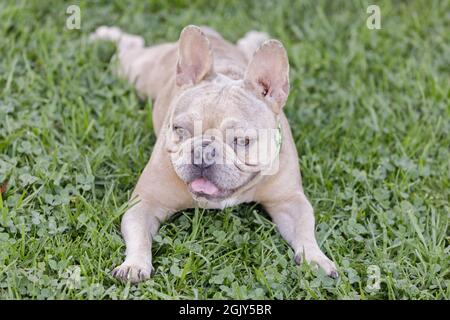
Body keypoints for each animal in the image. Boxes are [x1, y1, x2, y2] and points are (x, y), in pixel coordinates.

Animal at [90, 25, 338, 282]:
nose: (203, 152)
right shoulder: (146, 202)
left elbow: (305, 229)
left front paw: (315, 258)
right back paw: (107, 35)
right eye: (179, 129)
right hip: (136, 71)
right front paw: (134, 264)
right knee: (129, 47)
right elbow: (138, 234)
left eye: (242, 141)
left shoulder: (289, 201)